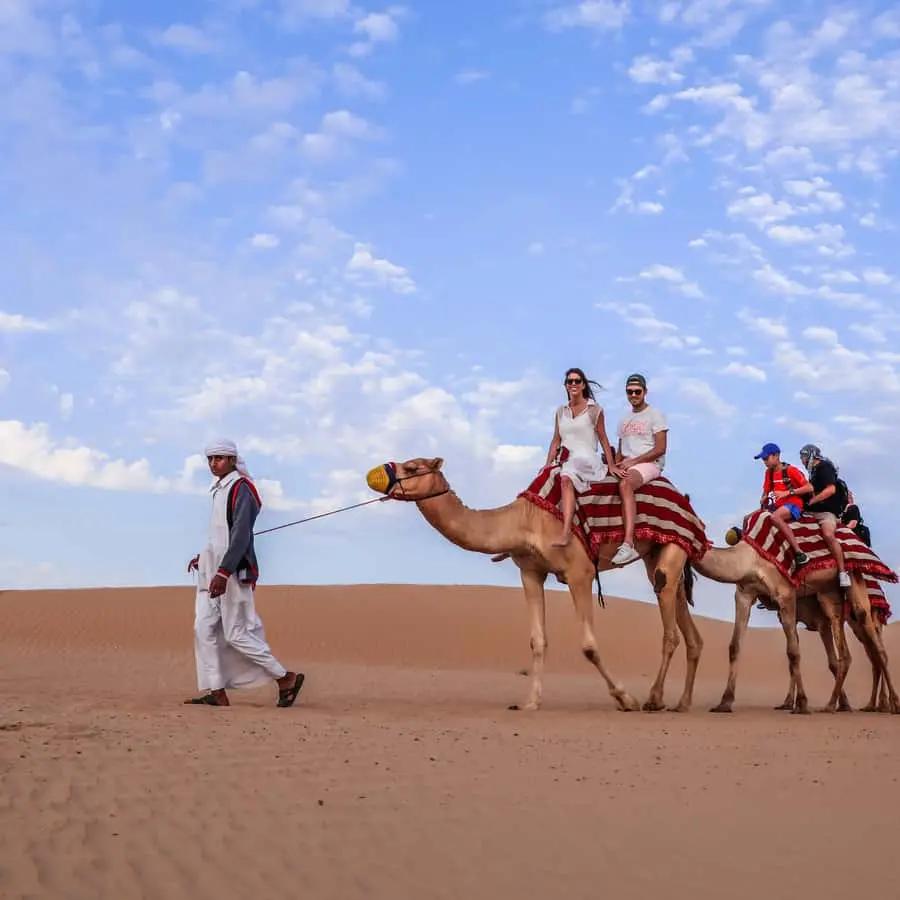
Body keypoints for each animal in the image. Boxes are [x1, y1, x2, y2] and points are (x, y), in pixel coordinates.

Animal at [372, 457, 703, 712]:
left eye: (412, 467)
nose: (376, 475)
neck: (523, 520)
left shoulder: (580, 571)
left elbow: (588, 646)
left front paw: (626, 699)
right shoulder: (531, 572)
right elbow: (537, 640)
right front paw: (530, 702)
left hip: (673, 546)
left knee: (669, 625)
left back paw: (654, 699)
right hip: (655, 553)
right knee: (684, 621)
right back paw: (682, 703)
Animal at [689, 540, 899, 714]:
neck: (751, 560)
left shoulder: (791, 599)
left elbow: (798, 653)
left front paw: (803, 704)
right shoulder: (746, 593)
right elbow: (736, 646)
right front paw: (725, 702)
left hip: (863, 611)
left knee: (878, 652)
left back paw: (888, 704)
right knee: (866, 656)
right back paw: (867, 705)